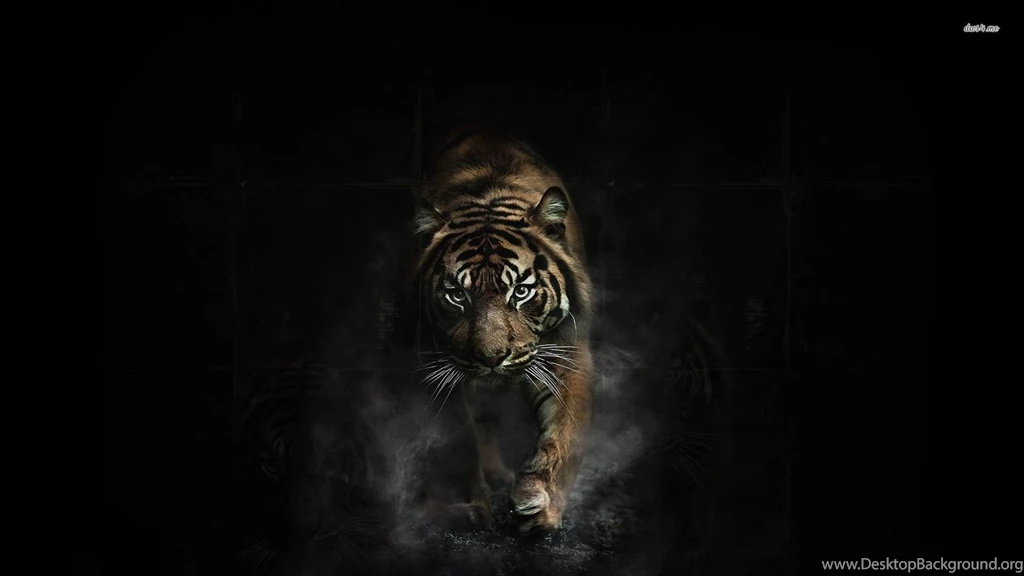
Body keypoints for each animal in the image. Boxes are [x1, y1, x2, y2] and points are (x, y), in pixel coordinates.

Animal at [407, 129, 595, 535]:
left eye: (520, 291)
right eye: (457, 295)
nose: (491, 358)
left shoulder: (567, 352)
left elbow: (564, 434)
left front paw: (539, 504)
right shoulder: (432, 363)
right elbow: (457, 438)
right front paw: (466, 505)